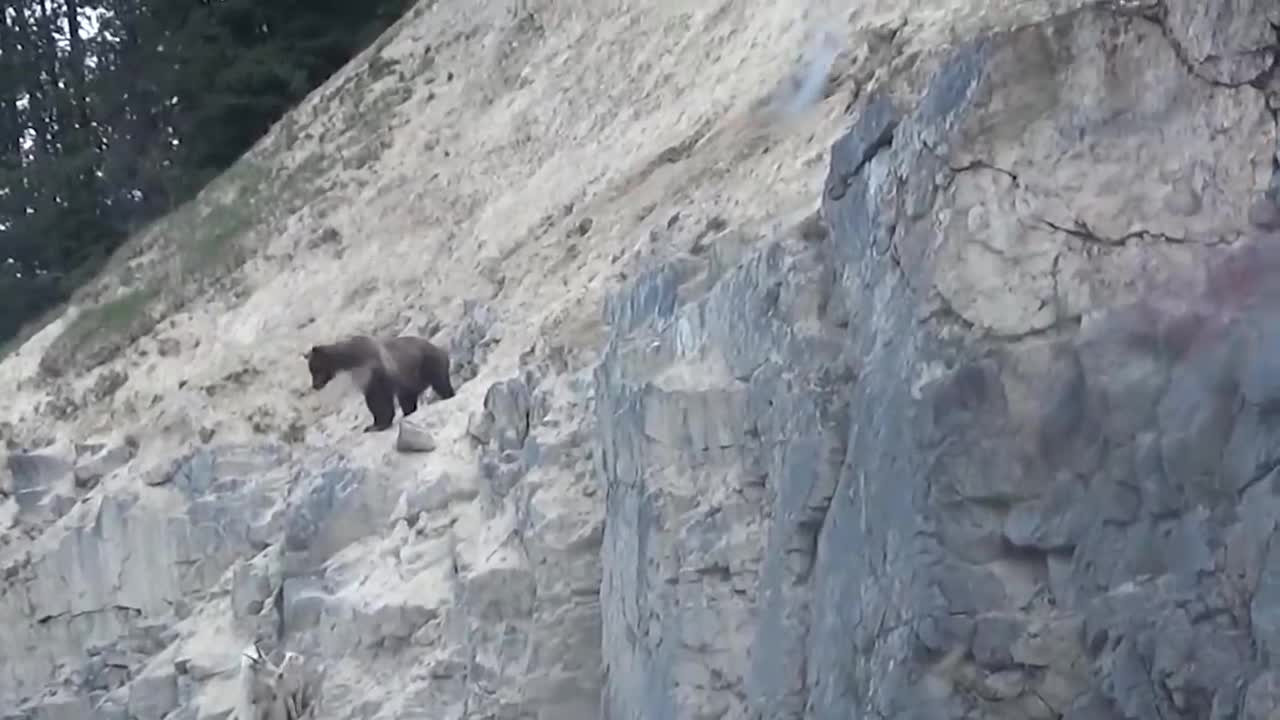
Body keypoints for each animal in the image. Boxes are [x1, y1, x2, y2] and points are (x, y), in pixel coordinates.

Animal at [303, 333, 455, 427]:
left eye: (314, 370)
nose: (315, 385)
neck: (349, 361)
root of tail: (440, 348)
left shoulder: (373, 370)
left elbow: (379, 399)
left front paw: (377, 424)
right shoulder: (362, 378)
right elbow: (373, 400)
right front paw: (374, 424)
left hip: (428, 363)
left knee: (441, 382)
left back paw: (448, 395)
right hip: (410, 381)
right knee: (407, 399)